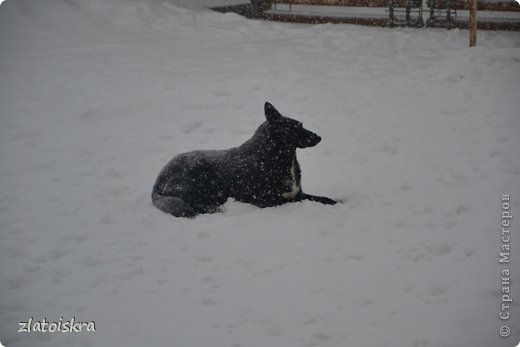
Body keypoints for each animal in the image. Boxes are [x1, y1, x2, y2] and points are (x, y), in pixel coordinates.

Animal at [151, 101, 338, 218]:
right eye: (297, 126)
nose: (319, 137)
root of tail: (157, 183)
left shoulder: (299, 194)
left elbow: (323, 198)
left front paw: (337, 201)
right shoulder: (268, 200)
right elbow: (292, 202)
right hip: (200, 179)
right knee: (194, 204)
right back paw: (214, 208)